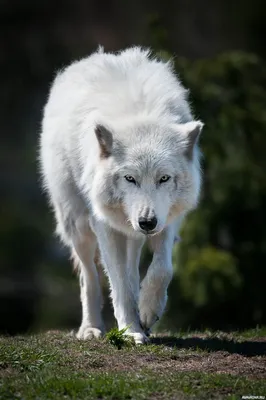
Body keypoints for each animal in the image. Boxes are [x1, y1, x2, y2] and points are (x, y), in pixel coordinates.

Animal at [39, 46, 204, 344]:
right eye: (130, 178)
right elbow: (117, 283)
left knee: (132, 269)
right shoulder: (105, 226)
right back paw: (91, 328)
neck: (141, 115)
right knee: (89, 277)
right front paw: (131, 330)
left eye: (164, 178)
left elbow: (162, 269)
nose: (147, 222)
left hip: (130, 232)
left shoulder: (168, 219)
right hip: (78, 225)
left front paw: (147, 313)